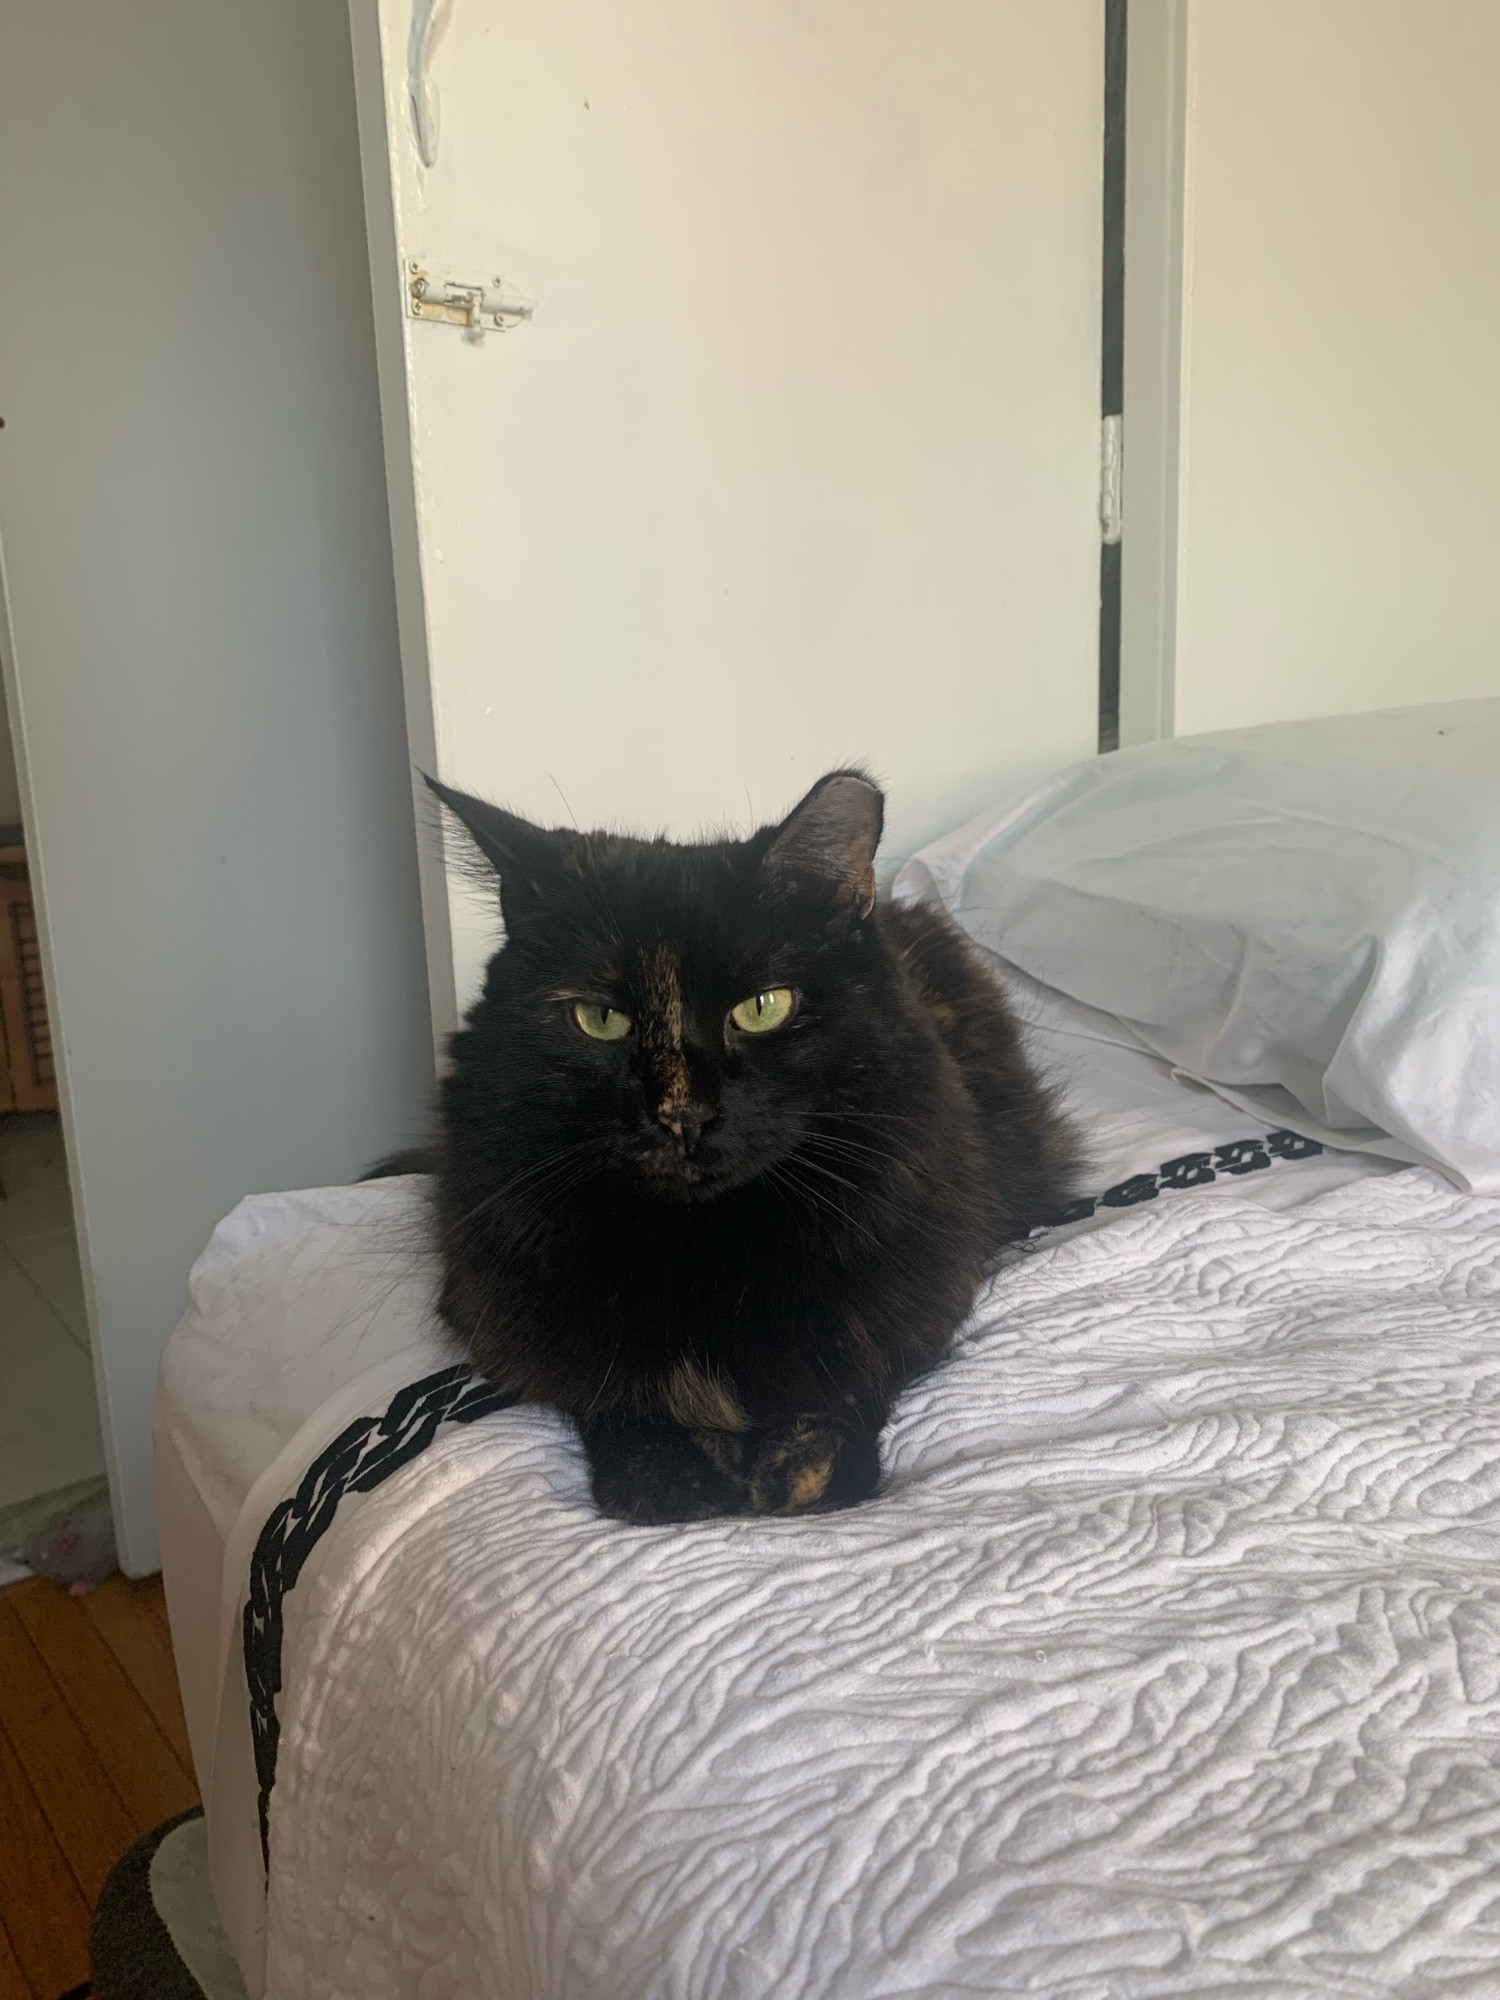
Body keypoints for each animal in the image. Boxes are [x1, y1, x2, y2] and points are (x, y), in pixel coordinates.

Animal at [406, 772, 1072, 1520]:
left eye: (763, 1007)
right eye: (600, 1019)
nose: (682, 1115)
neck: (705, 1250)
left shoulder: (923, 1287)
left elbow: (854, 1383)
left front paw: (805, 1470)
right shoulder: (499, 1306)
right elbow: (613, 1395)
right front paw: (671, 1477)